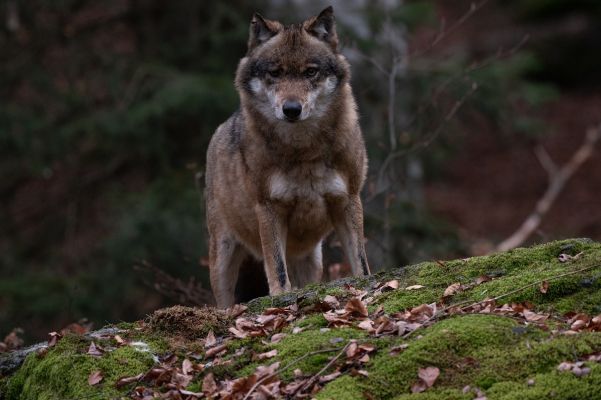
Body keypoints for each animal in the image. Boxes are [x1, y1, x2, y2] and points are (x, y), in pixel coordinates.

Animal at [204, 6, 368, 308]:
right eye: (275, 73)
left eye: (310, 72)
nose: (291, 109)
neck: (304, 151)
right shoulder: (269, 208)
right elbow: (277, 268)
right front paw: (282, 297)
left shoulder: (348, 199)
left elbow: (361, 263)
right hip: (222, 257)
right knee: (225, 301)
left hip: (312, 261)